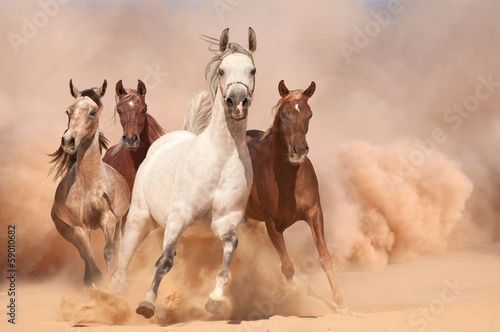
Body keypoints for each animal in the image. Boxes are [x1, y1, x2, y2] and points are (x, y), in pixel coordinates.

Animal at [49, 79, 129, 286]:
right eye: (68, 111)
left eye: (92, 112)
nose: (68, 141)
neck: (90, 185)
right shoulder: (80, 228)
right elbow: (92, 262)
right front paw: (99, 287)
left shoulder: (108, 219)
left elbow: (109, 252)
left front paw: (112, 285)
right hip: (66, 231)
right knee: (83, 256)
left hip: (118, 223)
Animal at [110, 28, 258, 320]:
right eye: (222, 70)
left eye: (252, 69)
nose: (237, 102)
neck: (221, 159)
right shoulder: (180, 215)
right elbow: (163, 261)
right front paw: (146, 303)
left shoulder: (226, 221)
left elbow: (228, 255)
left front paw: (215, 300)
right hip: (139, 218)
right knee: (123, 262)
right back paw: (109, 299)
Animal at [244, 81, 350, 314]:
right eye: (284, 114)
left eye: (309, 114)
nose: (299, 150)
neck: (287, 178)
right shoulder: (271, 223)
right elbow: (287, 266)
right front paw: (294, 292)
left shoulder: (314, 212)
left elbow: (325, 257)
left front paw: (340, 303)